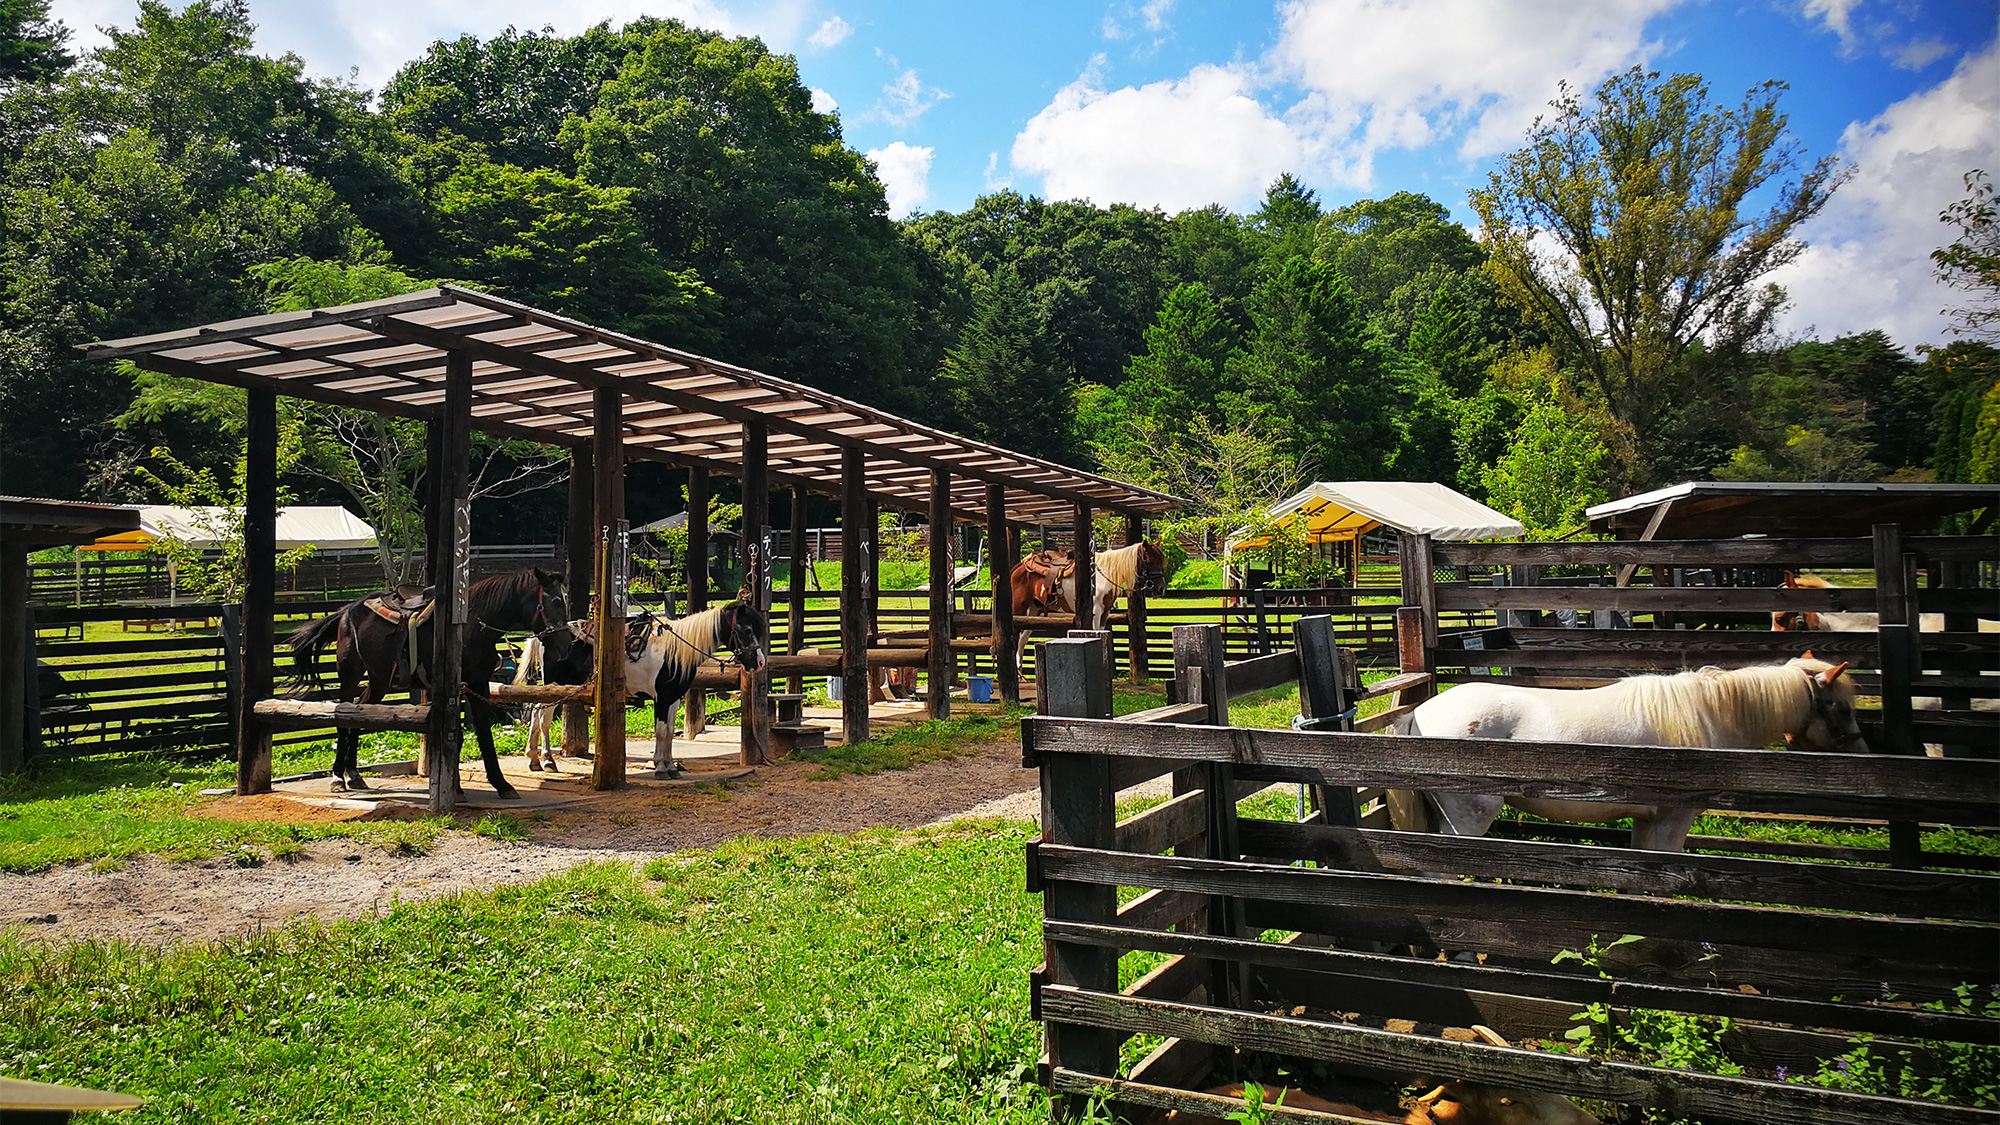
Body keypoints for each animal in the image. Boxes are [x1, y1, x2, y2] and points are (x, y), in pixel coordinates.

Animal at [278, 564, 572, 792]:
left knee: (360, 715)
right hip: (349, 673)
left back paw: (354, 774)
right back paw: (338, 777)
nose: (566, 645)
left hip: (379, 680)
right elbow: (463, 737)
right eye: (556, 602)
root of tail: (347, 610)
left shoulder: (476, 686)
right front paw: (461, 786)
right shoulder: (456, 688)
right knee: (343, 719)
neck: (472, 626)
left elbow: (479, 736)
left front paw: (499, 785)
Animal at [1392, 652, 1872, 844]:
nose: (1864, 757)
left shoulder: (1647, 818)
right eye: (1844, 709)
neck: (1706, 714)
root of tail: (1420, 714)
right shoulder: (1674, 818)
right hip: (1469, 820)